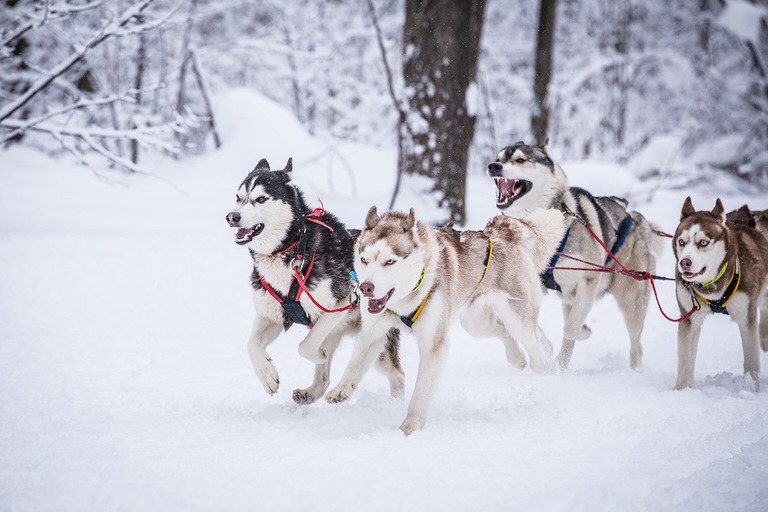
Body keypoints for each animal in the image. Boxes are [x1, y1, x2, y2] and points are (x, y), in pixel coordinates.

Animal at [224, 160, 402, 404]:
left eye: (261, 199)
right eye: (238, 197)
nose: (232, 217)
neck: (294, 247)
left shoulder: (339, 306)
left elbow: (305, 346)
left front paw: (318, 355)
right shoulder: (272, 316)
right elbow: (252, 345)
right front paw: (268, 376)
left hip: (374, 340)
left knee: (397, 375)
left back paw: (393, 402)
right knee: (324, 379)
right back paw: (310, 392)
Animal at [320, 206, 568, 434]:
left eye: (389, 262)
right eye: (364, 260)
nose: (366, 287)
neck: (408, 298)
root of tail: (500, 230)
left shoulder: (433, 347)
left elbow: (421, 393)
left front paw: (409, 428)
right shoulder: (373, 332)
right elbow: (355, 364)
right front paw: (342, 389)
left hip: (516, 316)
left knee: (534, 344)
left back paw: (545, 367)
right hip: (476, 323)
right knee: (508, 332)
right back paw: (518, 358)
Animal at [488, 142, 664, 370]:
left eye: (520, 160)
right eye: (498, 158)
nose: (493, 166)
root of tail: (635, 218)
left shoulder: (589, 279)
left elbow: (571, 327)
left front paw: (583, 331)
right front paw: (546, 347)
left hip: (631, 300)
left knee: (635, 345)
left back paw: (635, 370)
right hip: (571, 297)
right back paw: (560, 365)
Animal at [672, 198, 768, 390]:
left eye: (703, 242)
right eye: (682, 242)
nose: (684, 262)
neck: (712, 286)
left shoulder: (746, 317)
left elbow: (751, 362)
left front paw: (751, 388)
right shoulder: (689, 318)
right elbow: (685, 360)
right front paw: (682, 391)